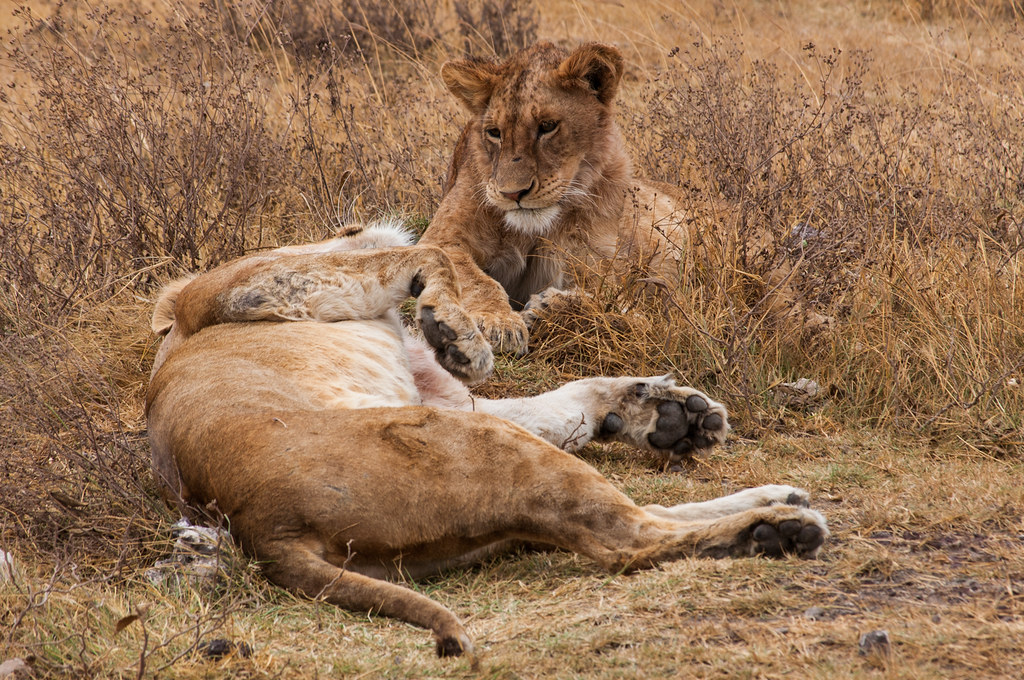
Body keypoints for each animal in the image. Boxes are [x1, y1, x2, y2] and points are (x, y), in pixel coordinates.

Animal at [146, 220, 829, 658]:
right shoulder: (235, 288)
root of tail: (260, 527)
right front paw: (457, 330)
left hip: (473, 488)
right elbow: (429, 253)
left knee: (636, 514)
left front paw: (667, 414)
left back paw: (773, 496)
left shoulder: (443, 395)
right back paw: (776, 530)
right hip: (479, 441)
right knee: (627, 539)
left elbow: (561, 403)